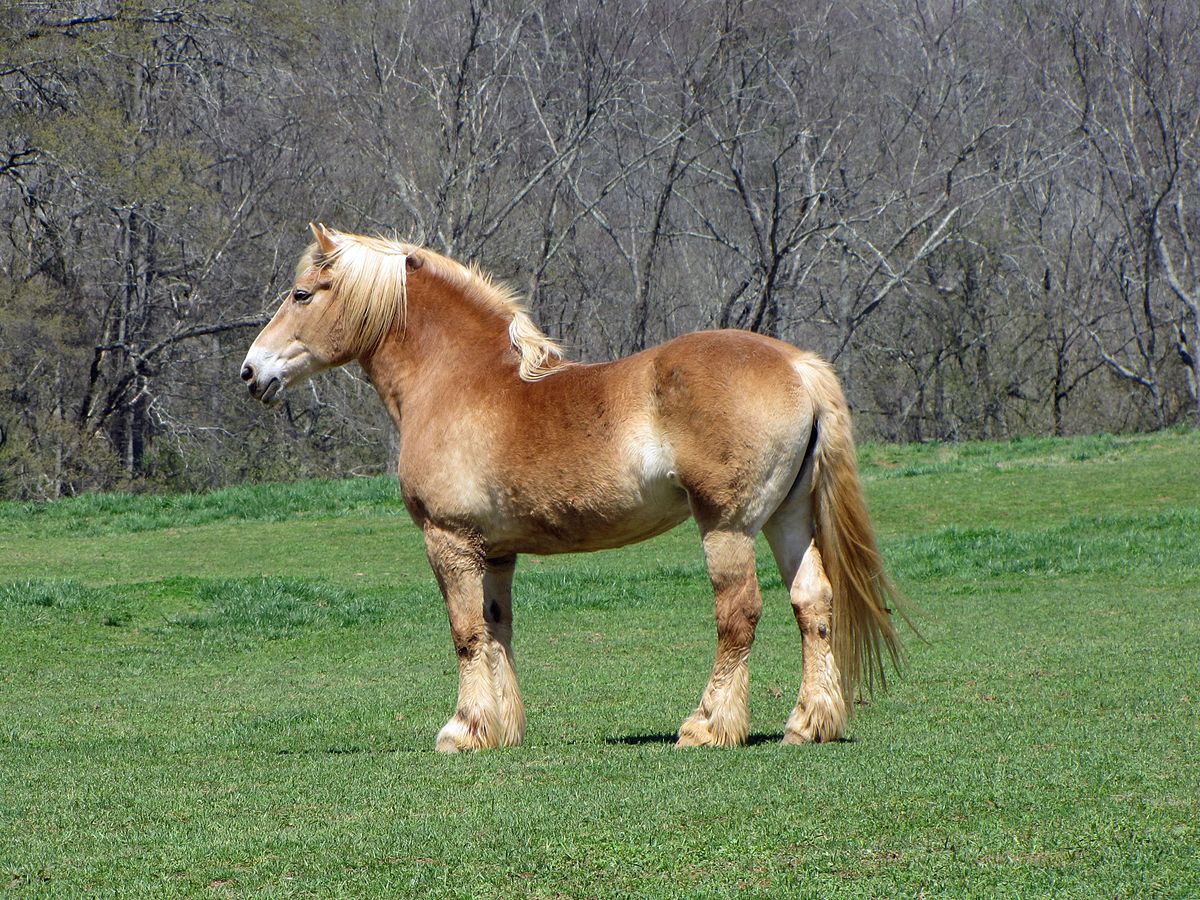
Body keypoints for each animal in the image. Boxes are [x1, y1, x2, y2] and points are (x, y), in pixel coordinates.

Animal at [241, 224, 902, 753]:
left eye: (301, 294)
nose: (251, 372)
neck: (460, 379)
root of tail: (798, 366)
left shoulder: (447, 540)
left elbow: (465, 633)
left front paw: (462, 731)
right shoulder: (495, 552)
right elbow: (497, 629)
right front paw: (500, 730)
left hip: (728, 526)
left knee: (738, 615)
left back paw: (707, 726)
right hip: (786, 519)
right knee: (812, 604)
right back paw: (808, 723)